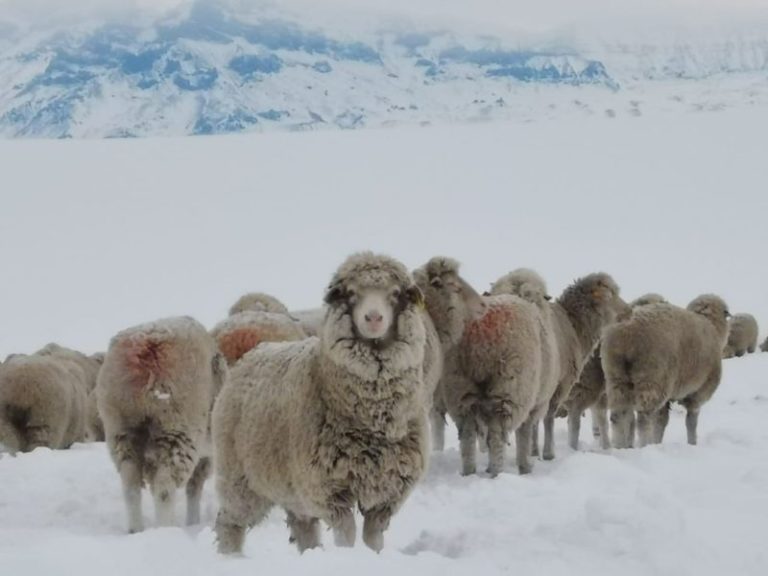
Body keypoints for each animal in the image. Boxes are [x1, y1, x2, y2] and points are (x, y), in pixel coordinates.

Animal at [97, 318, 228, 532]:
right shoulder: (207, 455)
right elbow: (194, 486)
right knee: (164, 489)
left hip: (120, 429)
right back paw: (165, 529)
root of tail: (146, 346)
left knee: (131, 485)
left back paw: (135, 530)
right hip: (177, 428)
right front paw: (193, 521)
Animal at [213, 252, 432, 552]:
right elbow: (347, 536)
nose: (373, 317)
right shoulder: (329, 489)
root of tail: (253, 353)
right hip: (240, 478)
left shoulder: (388, 490)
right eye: (351, 293)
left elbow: (373, 539)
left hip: (293, 488)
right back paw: (230, 556)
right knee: (229, 523)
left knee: (303, 524)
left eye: (395, 293)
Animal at [416, 258, 544, 474]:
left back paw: (469, 471)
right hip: (509, 384)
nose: (483, 304)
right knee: (497, 433)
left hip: (460, 384)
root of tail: (479, 338)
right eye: (455, 286)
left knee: (467, 432)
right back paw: (495, 471)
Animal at [604, 294, 728, 448]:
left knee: (618, 415)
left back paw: (620, 446)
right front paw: (692, 443)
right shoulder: (698, 394)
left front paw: (658, 441)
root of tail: (626, 334)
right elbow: (691, 422)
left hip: (616, 376)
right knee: (643, 419)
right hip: (652, 379)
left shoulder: (669, 395)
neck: (712, 326)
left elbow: (661, 421)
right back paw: (644, 445)